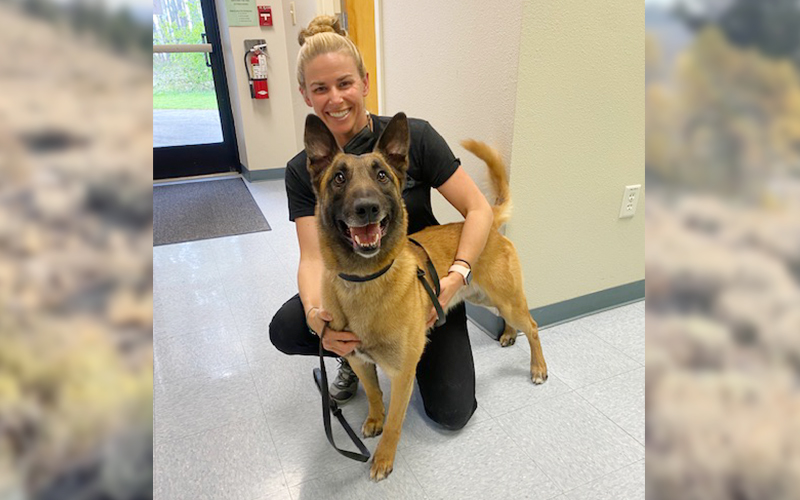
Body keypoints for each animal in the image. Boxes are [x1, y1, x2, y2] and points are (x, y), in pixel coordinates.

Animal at [304, 112, 548, 480]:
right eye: (339, 178)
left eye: (382, 175)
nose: (367, 208)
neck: (364, 280)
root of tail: (489, 221)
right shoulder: (359, 360)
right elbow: (374, 394)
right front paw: (373, 418)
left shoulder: (403, 372)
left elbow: (394, 422)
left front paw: (384, 458)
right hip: (483, 298)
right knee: (512, 320)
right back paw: (507, 334)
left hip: (507, 300)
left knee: (532, 325)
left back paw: (537, 366)